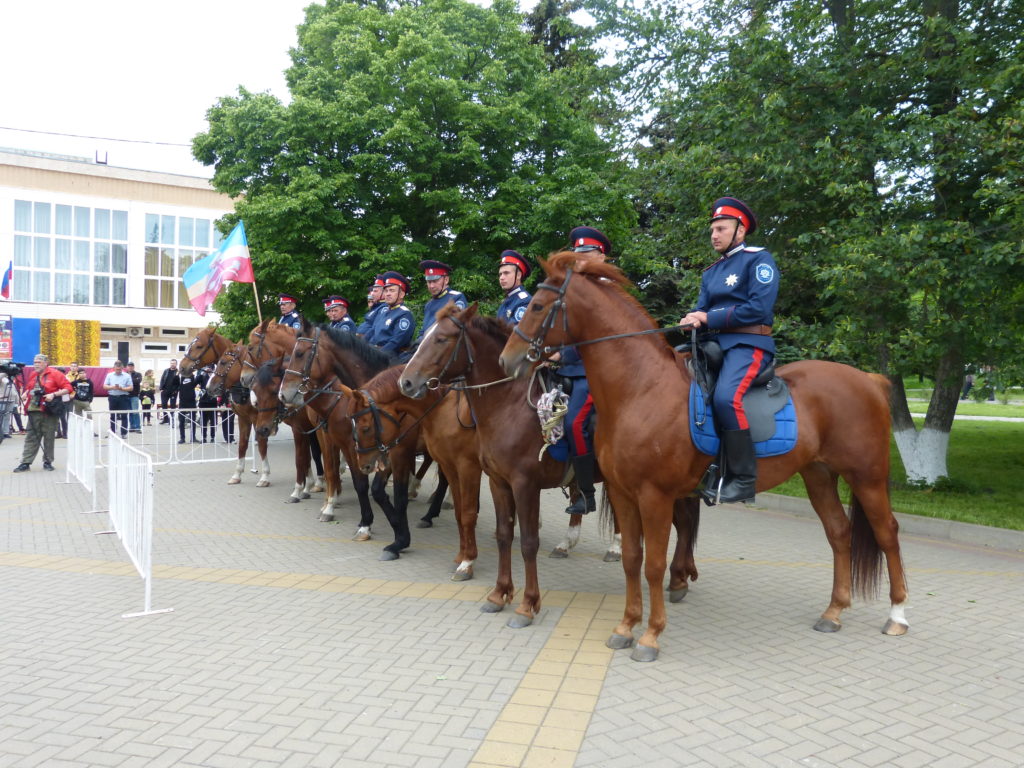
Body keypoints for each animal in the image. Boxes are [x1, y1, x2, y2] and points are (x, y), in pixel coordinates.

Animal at [180, 329, 270, 487]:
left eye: (199, 346)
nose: (181, 367)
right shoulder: (243, 418)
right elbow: (242, 445)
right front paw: (237, 474)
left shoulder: (258, 418)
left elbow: (262, 445)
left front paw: (264, 476)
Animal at [395, 303, 700, 626]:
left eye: (442, 339)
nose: (406, 382)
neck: (510, 404)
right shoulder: (497, 481)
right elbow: (504, 535)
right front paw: (499, 594)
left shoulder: (523, 484)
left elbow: (528, 542)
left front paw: (527, 604)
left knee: (685, 521)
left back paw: (677, 577)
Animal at [499, 252, 909, 663]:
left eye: (536, 306)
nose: (507, 360)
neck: (639, 389)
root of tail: (869, 380)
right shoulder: (622, 493)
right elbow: (631, 559)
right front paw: (625, 627)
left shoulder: (655, 496)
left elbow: (653, 565)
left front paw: (651, 636)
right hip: (819, 475)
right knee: (839, 532)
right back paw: (834, 611)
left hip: (867, 476)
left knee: (887, 533)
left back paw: (897, 615)